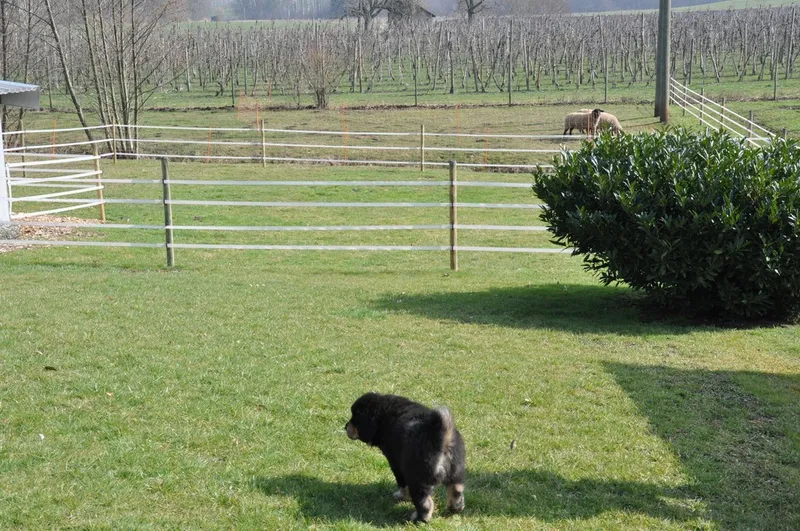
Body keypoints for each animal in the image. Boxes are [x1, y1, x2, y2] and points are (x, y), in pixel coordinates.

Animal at [345, 392, 466, 523]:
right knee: (456, 490)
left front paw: (401, 496)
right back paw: (455, 508)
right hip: (457, 472)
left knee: (425, 502)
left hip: (417, 479)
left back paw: (419, 519)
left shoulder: (395, 464)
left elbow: (402, 483)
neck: (383, 415)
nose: (345, 427)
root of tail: (441, 439)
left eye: (356, 416)